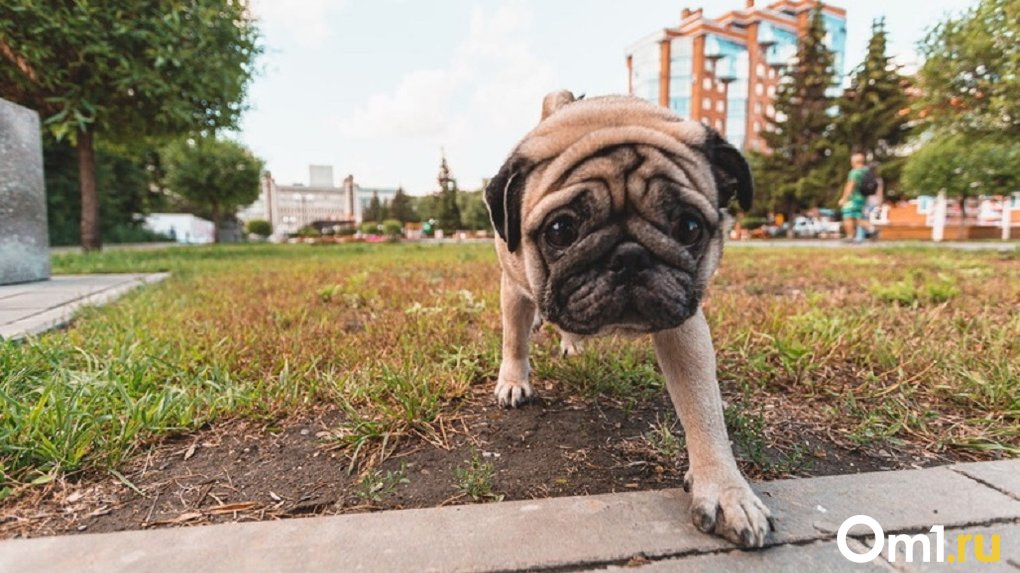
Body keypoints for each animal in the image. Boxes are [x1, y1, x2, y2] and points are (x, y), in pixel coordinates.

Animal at [485, 89, 771, 542]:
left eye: (689, 227)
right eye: (560, 231)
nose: (630, 256)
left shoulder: (683, 323)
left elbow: (702, 406)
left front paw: (725, 488)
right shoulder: (513, 287)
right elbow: (514, 338)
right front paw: (514, 381)